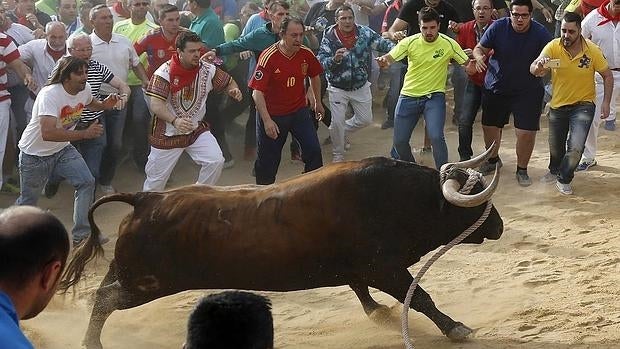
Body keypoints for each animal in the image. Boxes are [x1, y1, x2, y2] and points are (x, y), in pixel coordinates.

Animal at [60, 148, 502, 346]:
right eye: (474, 198)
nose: (498, 225)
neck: (399, 198)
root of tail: (145, 198)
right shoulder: (384, 268)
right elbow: (421, 297)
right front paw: (457, 328)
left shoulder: (359, 268)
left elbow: (363, 291)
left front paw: (379, 313)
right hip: (146, 283)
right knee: (104, 301)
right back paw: (91, 343)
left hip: (130, 273)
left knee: (101, 294)